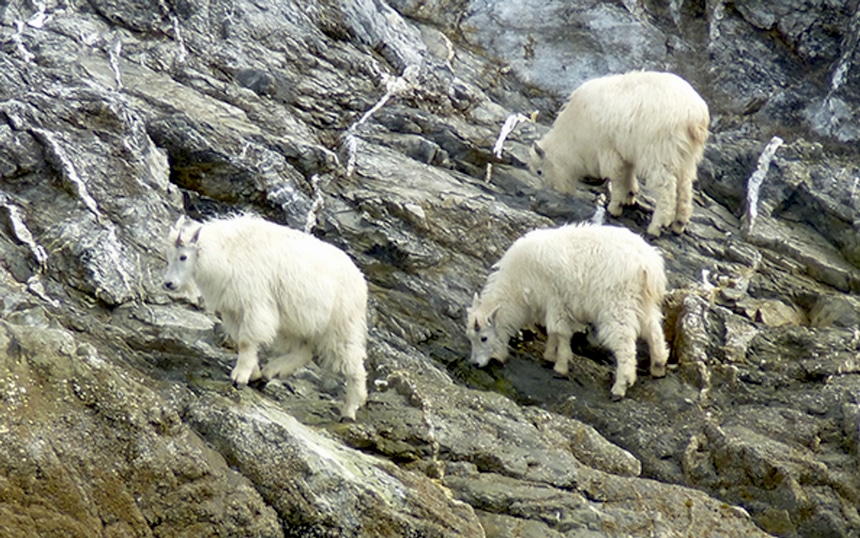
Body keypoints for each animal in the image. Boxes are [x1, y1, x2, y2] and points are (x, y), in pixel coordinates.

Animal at [163, 214, 368, 418]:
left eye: (183, 256)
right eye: (169, 255)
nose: (168, 283)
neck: (227, 251)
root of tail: (360, 280)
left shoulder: (255, 304)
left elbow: (246, 341)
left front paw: (239, 377)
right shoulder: (233, 310)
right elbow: (240, 340)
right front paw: (253, 373)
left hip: (342, 326)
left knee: (353, 364)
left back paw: (350, 409)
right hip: (297, 323)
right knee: (303, 351)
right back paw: (270, 372)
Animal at [466, 221, 668, 398]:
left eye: (483, 338)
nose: (475, 364)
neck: (517, 284)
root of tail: (648, 264)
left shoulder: (555, 300)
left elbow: (559, 331)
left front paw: (560, 366)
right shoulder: (550, 305)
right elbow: (553, 332)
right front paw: (549, 355)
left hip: (617, 304)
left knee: (624, 342)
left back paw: (620, 387)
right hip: (643, 301)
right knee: (654, 330)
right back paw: (658, 366)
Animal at [528, 70, 708, 237]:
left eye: (539, 171)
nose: (555, 191)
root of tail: (695, 118)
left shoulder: (608, 151)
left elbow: (616, 178)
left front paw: (615, 207)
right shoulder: (625, 154)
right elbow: (627, 176)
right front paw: (629, 198)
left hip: (659, 155)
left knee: (666, 190)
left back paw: (656, 226)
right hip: (685, 158)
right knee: (685, 188)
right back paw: (679, 224)